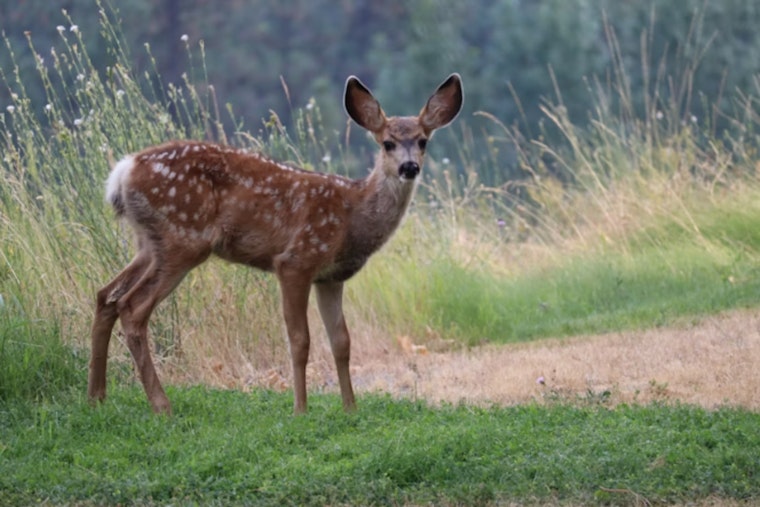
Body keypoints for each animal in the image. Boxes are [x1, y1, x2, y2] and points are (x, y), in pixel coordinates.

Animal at [88, 73, 463, 415]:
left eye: (423, 141)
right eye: (387, 143)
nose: (409, 167)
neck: (352, 215)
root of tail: (123, 171)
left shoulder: (330, 277)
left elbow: (341, 341)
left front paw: (350, 409)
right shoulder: (296, 260)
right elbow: (300, 340)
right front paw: (300, 409)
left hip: (149, 243)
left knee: (107, 295)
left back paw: (97, 396)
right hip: (183, 238)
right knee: (133, 307)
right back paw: (161, 405)